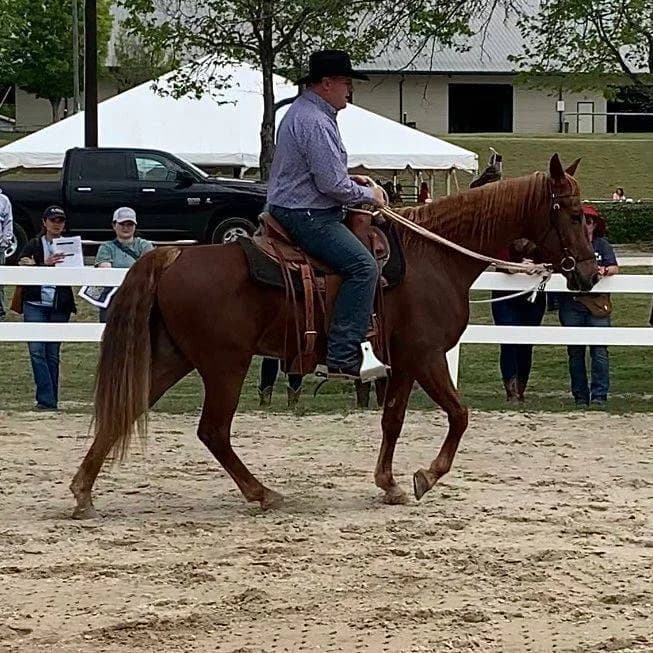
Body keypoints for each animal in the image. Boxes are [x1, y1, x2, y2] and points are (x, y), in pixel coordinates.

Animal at [70, 154, 598, 518]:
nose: (589, 275)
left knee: (127, 409)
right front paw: (425, 476)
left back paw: (83, 491)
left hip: (174, 356)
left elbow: (393, 419)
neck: (435, 257)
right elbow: (459, 414)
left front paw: (389, 483)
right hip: (224, 364)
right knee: (213, 431)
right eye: (573, 214)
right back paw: (262, 493)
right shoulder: (426, 355)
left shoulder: (402, 362)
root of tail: (171, 255)